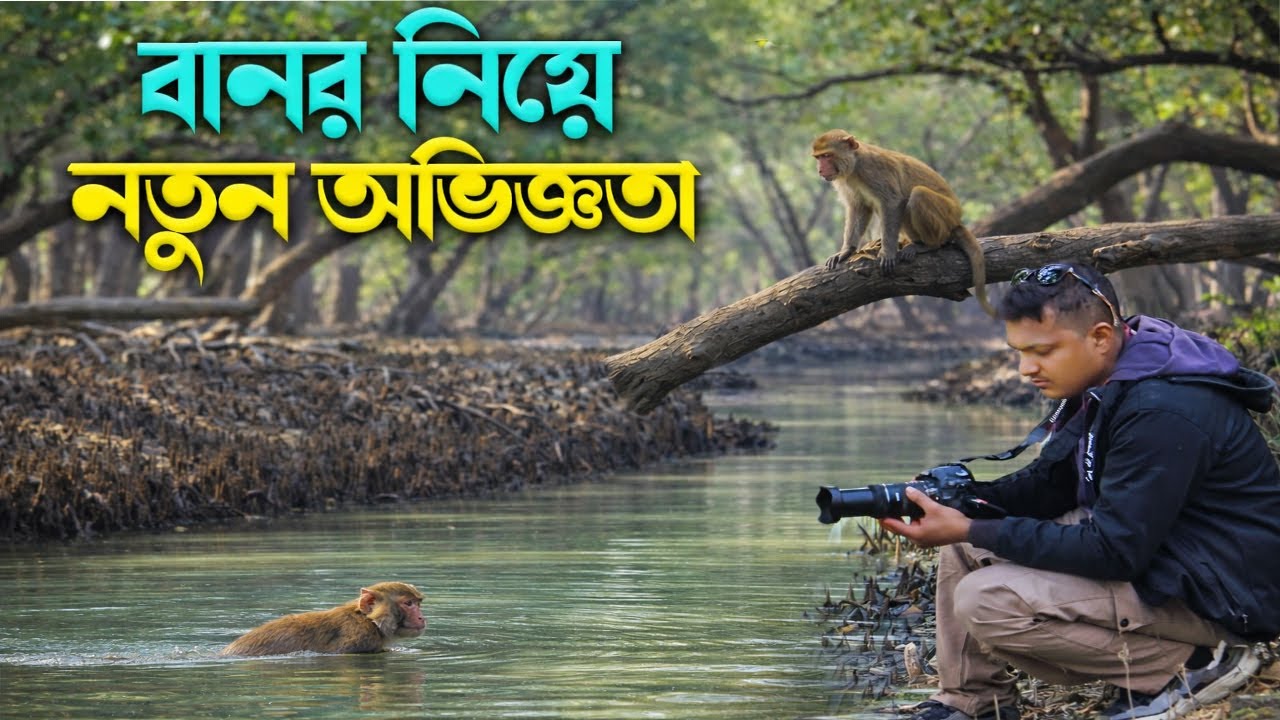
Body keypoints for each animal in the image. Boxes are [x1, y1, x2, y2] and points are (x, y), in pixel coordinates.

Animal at [811, 129, 995, 318]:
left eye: (827, 155)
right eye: (819, 157)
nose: (820, 169)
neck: (855, 165)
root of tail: (957, 220)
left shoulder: (873, 171)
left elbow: (891, 202)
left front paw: (888, 252)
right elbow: (859, 208)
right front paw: (846, 251)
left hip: (945, 216)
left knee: (917, 195)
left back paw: (929, 245)